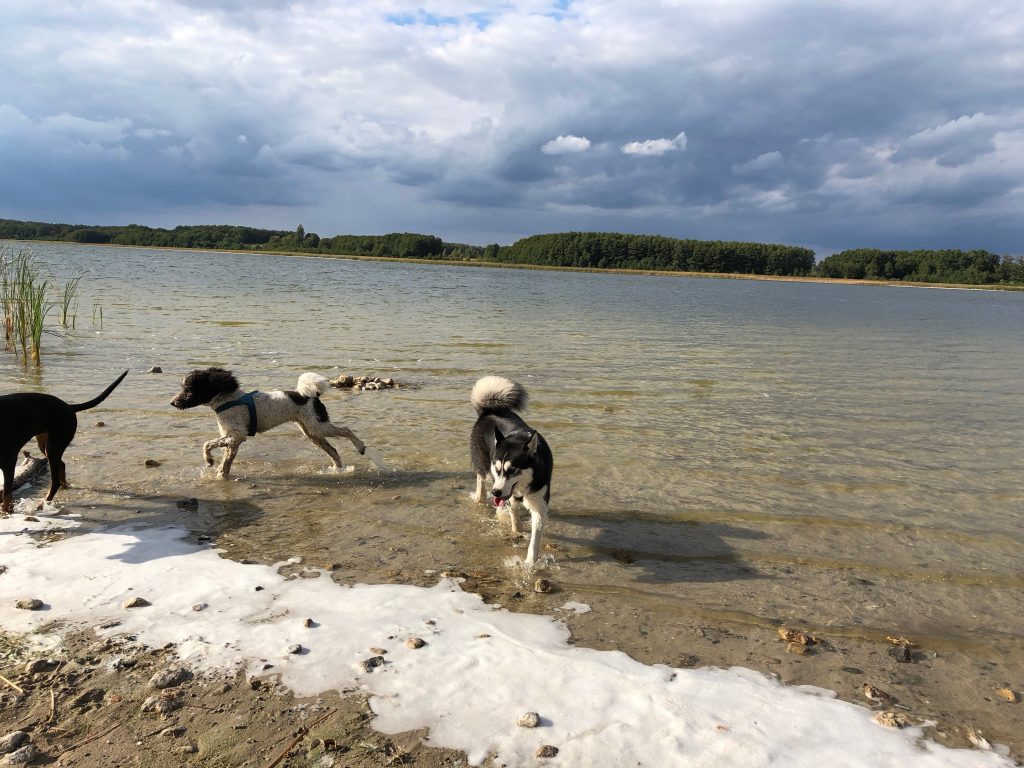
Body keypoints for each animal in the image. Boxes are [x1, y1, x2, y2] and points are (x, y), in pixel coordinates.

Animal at [0, 370, 129, 514]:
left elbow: (7, 491)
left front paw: (6, 510)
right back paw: (63, 485)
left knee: (54, 480)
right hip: (46, 445)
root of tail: (70, 407)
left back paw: (44, 502)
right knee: (61, 464)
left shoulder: (9, 461)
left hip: (53, 446)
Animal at [170, 367, 366, 477]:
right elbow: (226, 461)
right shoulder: (232, 440)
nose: (173, 403)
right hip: (311, 431)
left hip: (318, 426)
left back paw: (361, 447)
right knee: (333, 450)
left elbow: (206, 444)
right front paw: (220, 473)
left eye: (188, 389)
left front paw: (210, 461)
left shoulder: (236, 435)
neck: (227, 398)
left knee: (346, 430)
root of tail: (311, 395)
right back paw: (337, 470)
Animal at [470, 375, 553, 565]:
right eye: (498, 468)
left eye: (513, 469)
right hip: (483, 465)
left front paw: (530, 563)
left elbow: (535, 536)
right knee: (480, 477)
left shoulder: (539, 502)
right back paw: (480, 496)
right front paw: (517, 530)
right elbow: (514, 514)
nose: (496, 492)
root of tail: (488, 411)